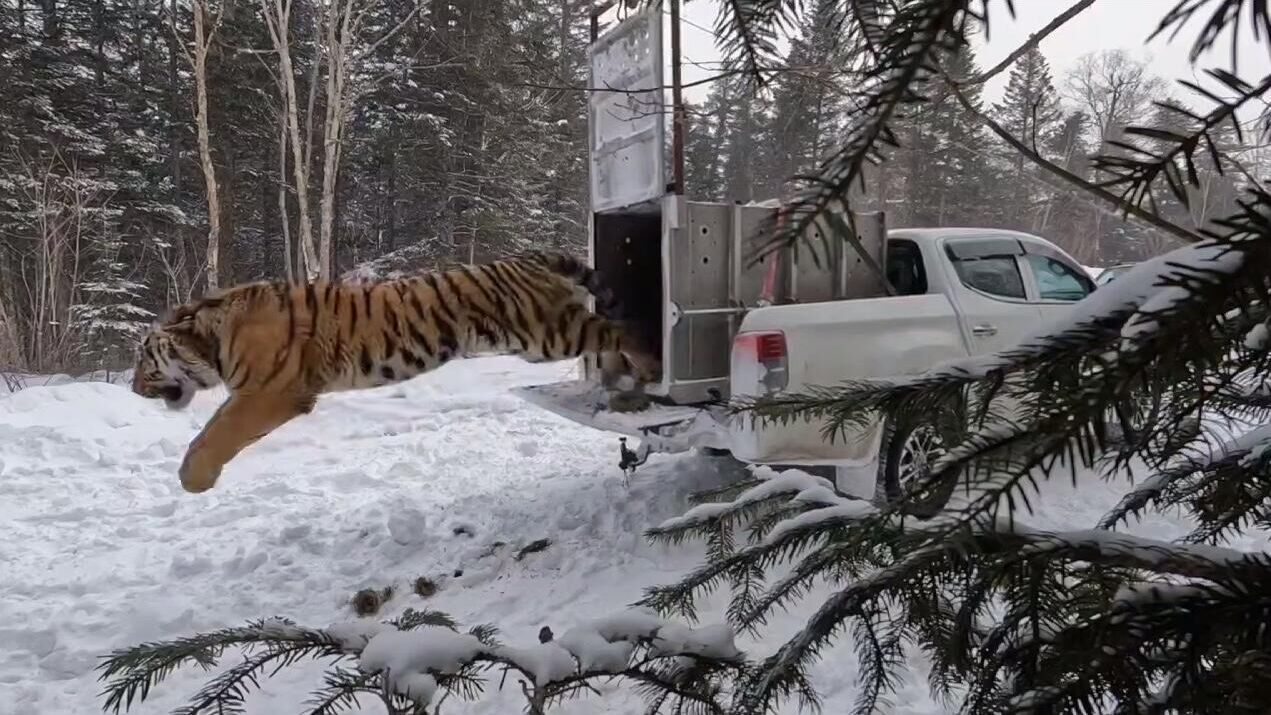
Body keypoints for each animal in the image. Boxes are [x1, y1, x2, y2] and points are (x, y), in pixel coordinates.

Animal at [130, 253, 660, 495]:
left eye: (143, 357)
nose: (133, 388)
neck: (212, 335)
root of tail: (530, 257)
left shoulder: (268, 390)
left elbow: (217, 433)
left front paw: (193, 479)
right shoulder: (256, 391)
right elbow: (211, 429)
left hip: (547, 332)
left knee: (618, 329)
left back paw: (652, 364)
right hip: (540, 339)